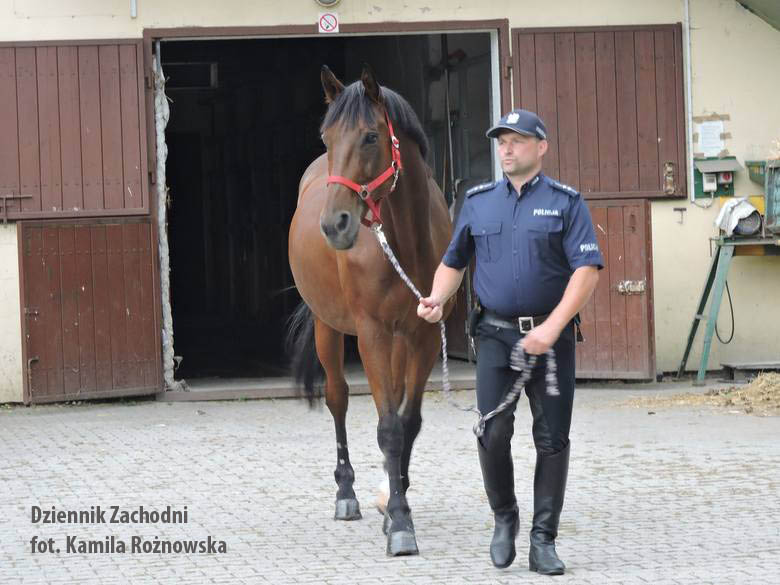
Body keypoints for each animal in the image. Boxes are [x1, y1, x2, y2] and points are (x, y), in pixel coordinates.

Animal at [290, 66, 454, 556]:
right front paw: (400, 522)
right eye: (326, 136)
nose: (334, 225)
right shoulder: (372, 334)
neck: (405, 241)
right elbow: (388, 428)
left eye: (369, 136)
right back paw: (346, 494)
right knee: (337, 399)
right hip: (328, 328)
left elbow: (407, 422)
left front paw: (396, 503)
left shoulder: (422, 334)